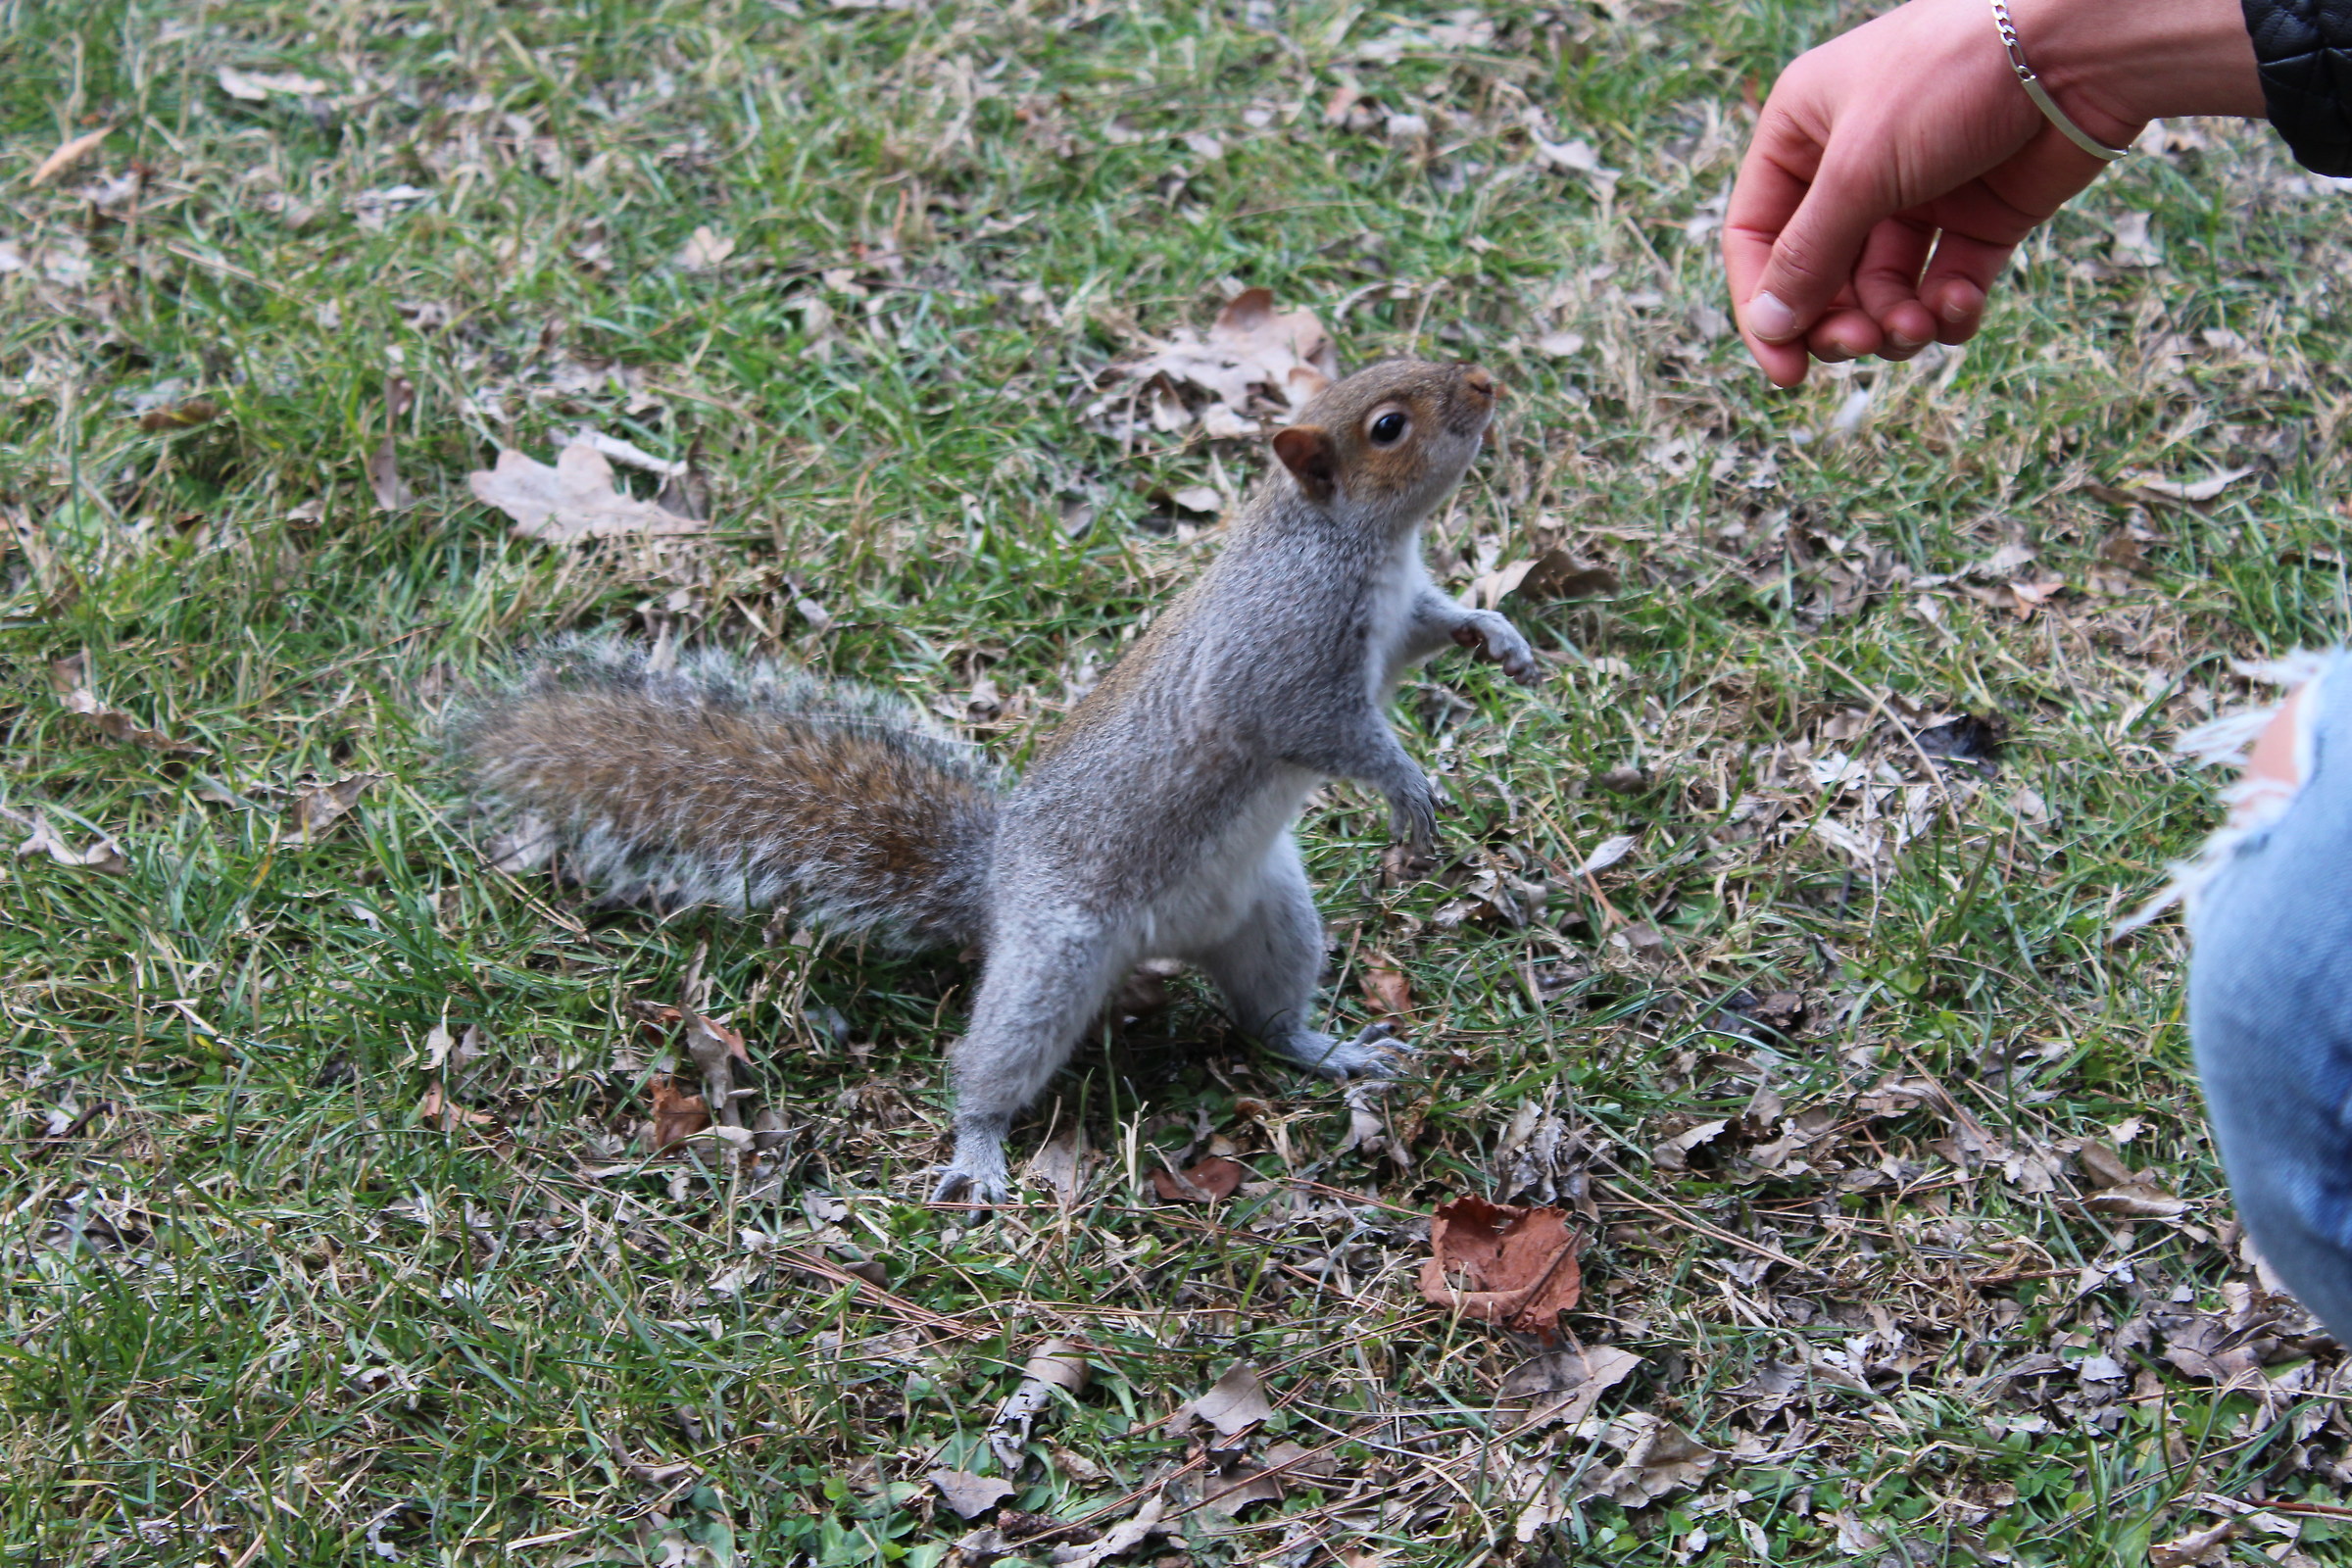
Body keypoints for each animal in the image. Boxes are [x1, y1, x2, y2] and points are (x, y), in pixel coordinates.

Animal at [448, 357, 1538, 1202]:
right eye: (1389, 426)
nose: (1487, 382)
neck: (1352, 544)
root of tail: (995, 884)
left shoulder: (1400, 618)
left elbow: (1439, 628)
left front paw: (1502, 637)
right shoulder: (1285, 669)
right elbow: (1332, 733)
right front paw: (1406, 784)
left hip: (1269, 916)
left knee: (1269, 1020)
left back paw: (1332, 1050)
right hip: (1053, 964)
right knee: (987, 1061)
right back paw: (976, 1146)